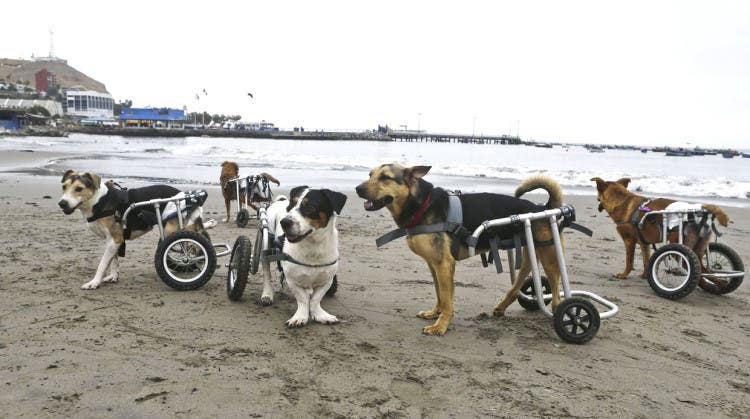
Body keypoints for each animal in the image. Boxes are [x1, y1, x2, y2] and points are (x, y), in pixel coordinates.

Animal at [57, 169, 212, 290]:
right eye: (64, 187)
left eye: (79, 189)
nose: (62, 203)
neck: (98, 201)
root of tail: (188, 197)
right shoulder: (114, 240)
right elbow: (114, 260)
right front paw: (113, 276)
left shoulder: (114, 239)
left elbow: (103, 263)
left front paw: (94, 282)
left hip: (171, 228)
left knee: (193, 243)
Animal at [262, 187, 348, 328]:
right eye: (291, 205)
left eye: (310, 207)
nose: (284, 222)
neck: (313, 247)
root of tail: (280, 201)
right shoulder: (292, 279)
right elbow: (302, 299)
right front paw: (300, 317)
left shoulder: (327, 280)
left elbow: (315, 299)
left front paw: (320, 315)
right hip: (265, 244)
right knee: (266, 272)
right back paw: (267, 294)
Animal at [592, 177, 732, 278]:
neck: (621, 201)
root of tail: (696, 210)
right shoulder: (644, 243)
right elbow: (646, 261)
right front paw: (645, 275)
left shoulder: (629, 241)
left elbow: (629, 261)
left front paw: (624, 275)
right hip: (698, 248)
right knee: (707, 270)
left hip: (681, 249)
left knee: (702, 271)